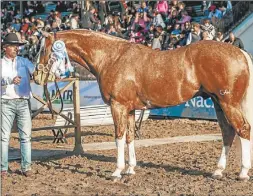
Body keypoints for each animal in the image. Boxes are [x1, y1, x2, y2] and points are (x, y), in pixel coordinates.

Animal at [37, 29, 253, 181]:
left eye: (43, 49)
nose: (36, 76)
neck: (111, 57)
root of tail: (241, 53)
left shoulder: (118, 106)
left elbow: (119, 137)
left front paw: (117, 171)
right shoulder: (131, 109)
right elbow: (130, 137)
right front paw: (130, 169)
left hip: (228, 103)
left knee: (243, 129)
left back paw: (242, 173)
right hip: (218, 103)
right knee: (228, 133)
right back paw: (218, 171)